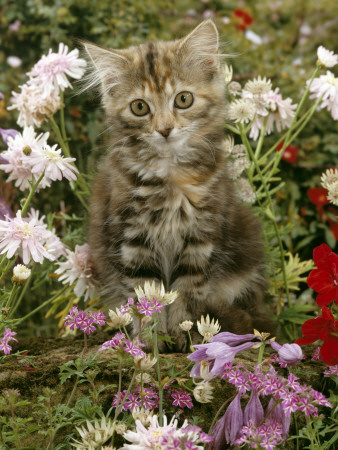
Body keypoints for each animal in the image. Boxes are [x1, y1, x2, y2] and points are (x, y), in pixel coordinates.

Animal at [83, 20, 274, 352]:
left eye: (183, 100)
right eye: (139, 107)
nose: (164, 129)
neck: (170, 178)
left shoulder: (202, 238)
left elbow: (187, 292)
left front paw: (184, 333)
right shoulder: (132, 240)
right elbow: (147, 295)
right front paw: (151, 340)